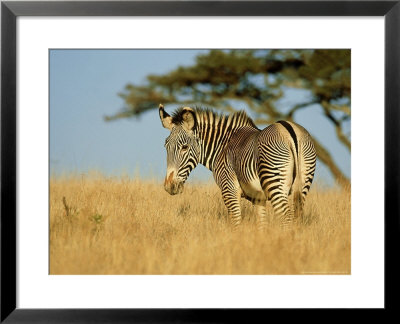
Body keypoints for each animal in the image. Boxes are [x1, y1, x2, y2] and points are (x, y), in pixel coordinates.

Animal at [159, 104, 316, 228]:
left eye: (184, 147)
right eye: (166, 146)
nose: (169, 186)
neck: (222, 146)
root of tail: (290, 130)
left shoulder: (229, 190)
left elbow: (235, 224)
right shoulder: (258, 198)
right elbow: (262, 225)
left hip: (275, 181)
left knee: (286, 217)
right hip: (303, 183)